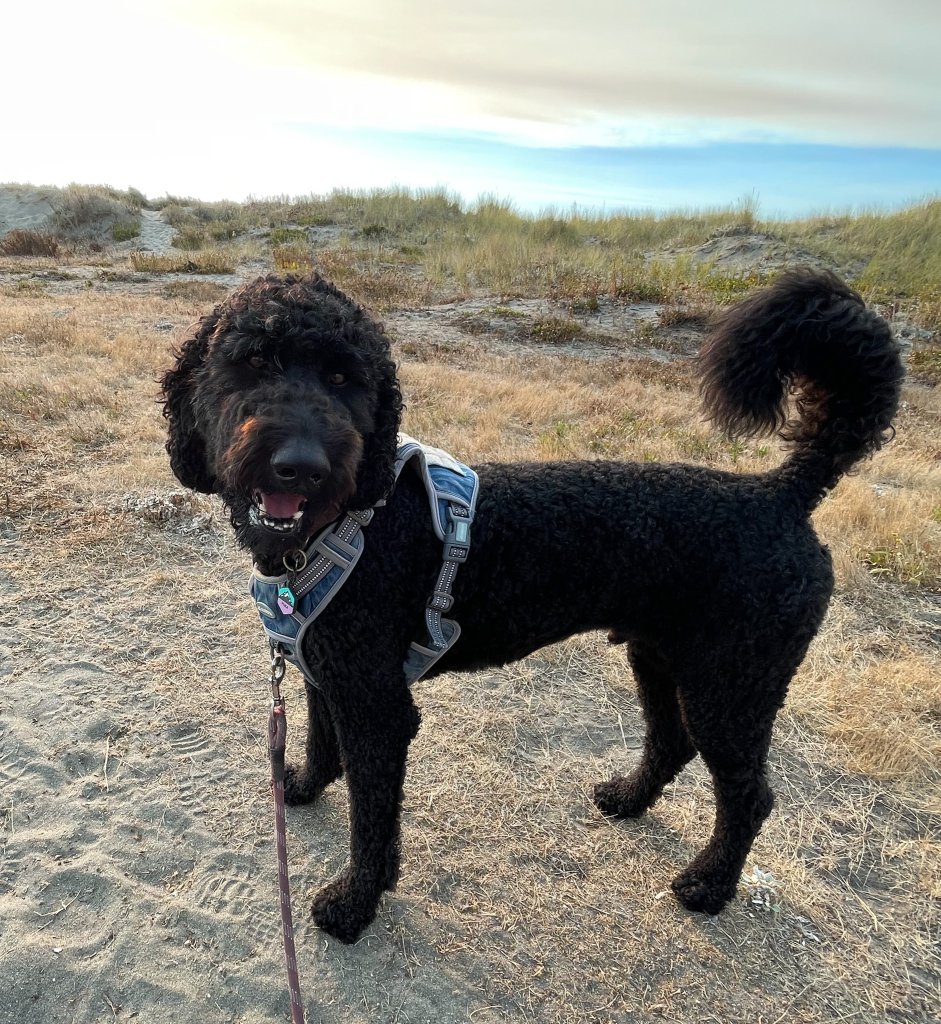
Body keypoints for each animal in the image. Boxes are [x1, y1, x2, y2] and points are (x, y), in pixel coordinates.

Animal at [161, 270, 905, 942]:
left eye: (346, 379)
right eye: (252, 362)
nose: (301, 464)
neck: (353, 520)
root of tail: (782, 493)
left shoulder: (378, 707)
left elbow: (372, 820)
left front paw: (354, 904)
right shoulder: (329, 669)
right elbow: (321, 743)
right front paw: (304, 787)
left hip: (732, 684)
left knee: (748, 795)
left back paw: (709, 886)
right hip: (661, 658)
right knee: (671, 741)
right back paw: (627, 799)